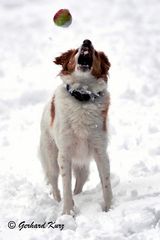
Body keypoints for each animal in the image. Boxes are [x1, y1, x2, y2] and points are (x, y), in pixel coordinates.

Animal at [39, 39, 112, 216]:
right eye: (76, 51)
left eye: (96, 52)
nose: (87, 41)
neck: (83, 97)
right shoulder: (64, 154)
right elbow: (65, 187)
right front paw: (67, 212)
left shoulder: (100, 151)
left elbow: (106, 184)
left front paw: (109, 209)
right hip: (51, 157)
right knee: (55, 182)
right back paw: (58, 202)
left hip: (82, 166)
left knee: (79, 183)